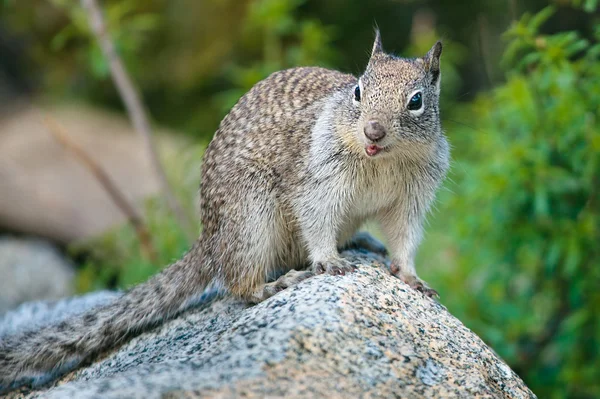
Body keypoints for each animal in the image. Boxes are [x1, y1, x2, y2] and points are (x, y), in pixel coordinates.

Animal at [0, 32, 450, 394]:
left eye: (416, 101)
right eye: (357, 90)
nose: (373, 130)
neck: (381, 159)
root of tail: (209, 237)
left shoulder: (413, 197)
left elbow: (404, 237)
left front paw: (410, 276)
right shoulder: (318, 180)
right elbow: (317, 220)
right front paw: (329, 261)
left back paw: (362, 240)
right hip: (250, 220)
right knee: (238, 282)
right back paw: (274, 284)